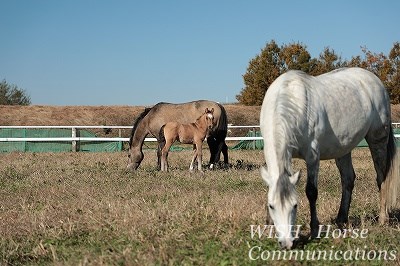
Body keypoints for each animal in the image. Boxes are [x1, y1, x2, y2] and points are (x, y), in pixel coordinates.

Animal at [260, 67, 400, 249]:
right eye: (272, 206)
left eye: (295, 205)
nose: (287, 243)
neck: (291, 101)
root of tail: (375, 80)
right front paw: (268, 227)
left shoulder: (312, 156)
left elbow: (311, 192)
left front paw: (314, 230)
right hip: (344, 148)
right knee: (348, 179)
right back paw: (341, 219)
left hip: (378, 140)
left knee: (381, 178)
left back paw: (383, 218)